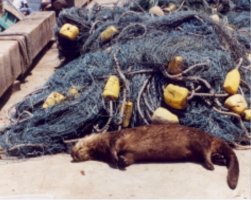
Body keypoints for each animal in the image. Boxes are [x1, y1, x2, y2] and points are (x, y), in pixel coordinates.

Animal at [70, 122, 239, 190]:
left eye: (77, 145)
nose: (72, 154)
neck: (103, 144)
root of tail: (212, 136)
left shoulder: (117, 138)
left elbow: (115, 149)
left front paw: (115, 160)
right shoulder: (130, 154)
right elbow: (129, 158)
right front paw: (122, 162)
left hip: (198, 140)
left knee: (206, 152)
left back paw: (210, 165)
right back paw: (219, 159)